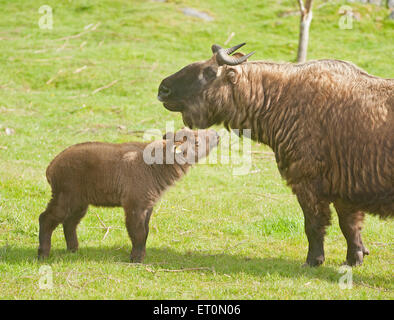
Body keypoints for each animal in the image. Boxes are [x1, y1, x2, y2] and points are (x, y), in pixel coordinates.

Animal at [37, 127, 219, 262]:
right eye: (196, 141)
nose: (216, 134)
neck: (156, 166)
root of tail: (51, 167)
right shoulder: (134, 205)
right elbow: (138, 233)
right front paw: (136, 259)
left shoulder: (147, 206)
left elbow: (145, 232)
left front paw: (141, 255)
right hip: (64, 197)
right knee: (46, 219)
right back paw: (43, 254)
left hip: (79, 202)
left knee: (69, 223)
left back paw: (73, 249)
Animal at [158, 42, 394, 268]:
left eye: (208, 72)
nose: (163, 89)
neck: (282, 99)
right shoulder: (343, 191)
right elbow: (350, 228)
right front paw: (355, 258)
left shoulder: (308, 184)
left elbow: (313, 226)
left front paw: (313, 260)